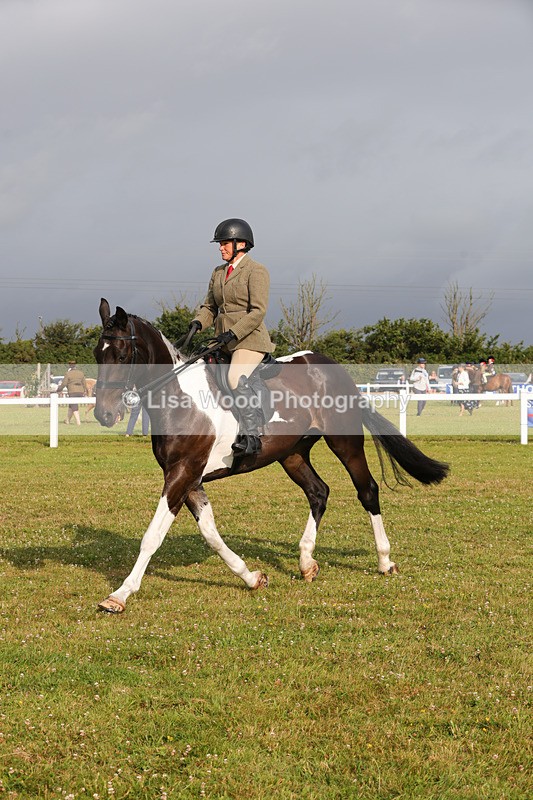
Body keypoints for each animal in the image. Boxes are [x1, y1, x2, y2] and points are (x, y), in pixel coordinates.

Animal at [93, 299, 449, 613]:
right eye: (98, 354)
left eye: (122, 354)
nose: (104, 415)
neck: (180, 398)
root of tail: (333, 367)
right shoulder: (189, 477)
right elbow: (210, 533)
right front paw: (252, 577)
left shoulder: (182, 473)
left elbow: (152, 536)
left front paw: (119, 595)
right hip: (292, 454)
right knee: (318, 492)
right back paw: (306, 562)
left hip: (344, 441)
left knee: (367, 490)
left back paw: (385, 561)